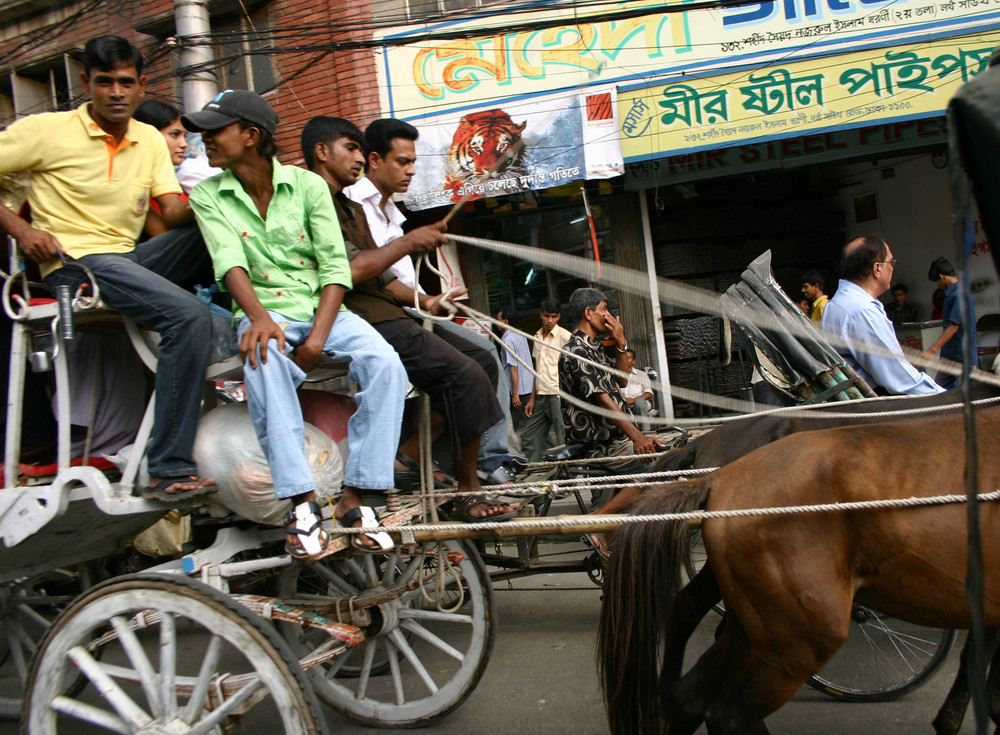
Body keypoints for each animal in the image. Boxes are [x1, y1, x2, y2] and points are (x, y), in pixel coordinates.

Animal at [596, 406, 1000, 732]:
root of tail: (719, 474)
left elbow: (974, 666)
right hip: (805, 632)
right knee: (727, 710)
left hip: (758, 616)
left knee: (691, 667)